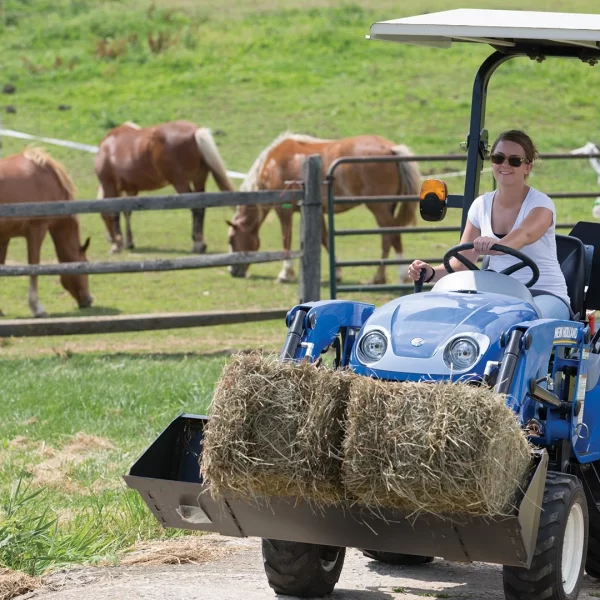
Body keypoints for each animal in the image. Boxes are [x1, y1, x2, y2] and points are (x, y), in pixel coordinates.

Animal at [0, 149, 93, 318]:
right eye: (85, 266)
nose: (89, 300)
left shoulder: (4, 237)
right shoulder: (37, 229)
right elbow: (34, 266)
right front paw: (37, 308)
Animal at [95, 120, 236, 254]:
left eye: (102, 218)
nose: (109, 239)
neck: (108, 146)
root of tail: (195, 131)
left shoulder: (110, 186)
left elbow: (115, 213)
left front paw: (117, 245)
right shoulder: (130, 190)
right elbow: (127, 212)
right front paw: (129, 243)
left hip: (181, 184)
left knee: (195, 208)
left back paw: (198, 244)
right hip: (199, 180)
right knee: (201, 208)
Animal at [227, 132, 420, 282]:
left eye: (231, 240)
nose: (233, 271)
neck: (273, 163)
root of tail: (392, 149)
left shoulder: (283, 210)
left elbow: (286, 239)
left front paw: (285, 273)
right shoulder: (317, 212)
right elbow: (324, 238)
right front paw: (338, 273)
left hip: (379, 208)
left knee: (394, 235)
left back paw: (402, 275)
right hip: (386, 208)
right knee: (386, 239)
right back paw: (378, 278)